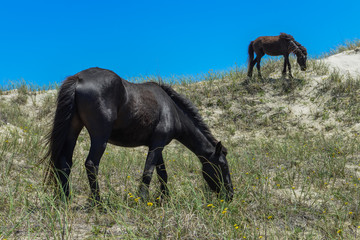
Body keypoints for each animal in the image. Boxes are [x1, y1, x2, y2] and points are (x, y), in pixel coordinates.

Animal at [43, 67, 235, 202]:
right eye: (223, 166)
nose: (231, 195)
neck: (172, 110)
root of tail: (79, 78)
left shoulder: (157, 145)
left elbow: (162, 174)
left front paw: (164, 199)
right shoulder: (157, 144)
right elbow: (148, 172)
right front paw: (142, 200)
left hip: (73, 130)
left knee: (65, 163)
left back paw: (65, 199)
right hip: (99, 137)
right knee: (91, 165)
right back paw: (98, 203)